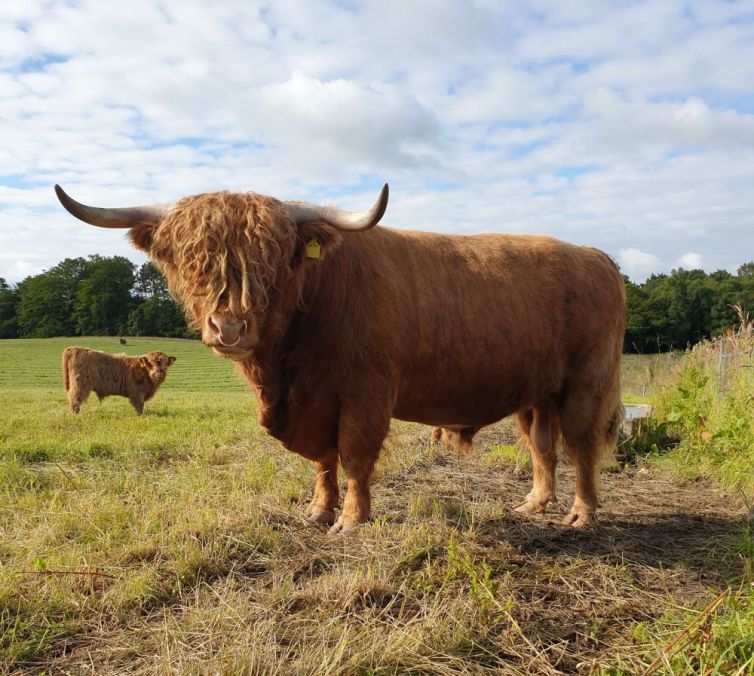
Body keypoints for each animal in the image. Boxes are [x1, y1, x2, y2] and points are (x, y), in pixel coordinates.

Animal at [55, 182, 624, 532]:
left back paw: (581, 515)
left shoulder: (365, 393)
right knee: (542, 445)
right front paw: (318, 510)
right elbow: (323, 462)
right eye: (194, 261)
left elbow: (353, 455)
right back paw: (534, 503)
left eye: (273, 261)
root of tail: (597, 256)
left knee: (581, 445)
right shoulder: (314, 404)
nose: (229, 328)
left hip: (586, 381)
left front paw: (351, 520)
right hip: (536, 392)